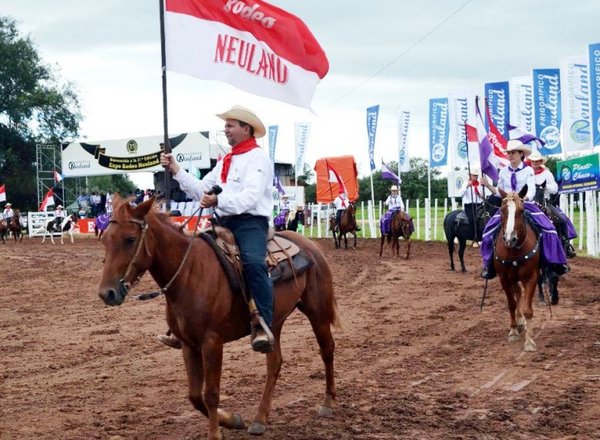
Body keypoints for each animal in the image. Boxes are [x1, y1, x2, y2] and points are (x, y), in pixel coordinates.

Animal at [98, 197, 342, 440]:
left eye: (130, 239)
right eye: (106, 239)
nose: (106, 293)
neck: (190, 273)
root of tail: (311, 246)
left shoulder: (212, 342)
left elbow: (211, 393)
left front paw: (215, 434)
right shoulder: (188, 344)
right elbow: (195, 395)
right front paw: (233, 420)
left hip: (318, 313)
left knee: (327, 350)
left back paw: (328, 403)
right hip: (274, 323)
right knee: (274, 363)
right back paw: (259, 419)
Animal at [494, 187, 540, 352]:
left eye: (521, 211)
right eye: (502, 210)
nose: (510, 239)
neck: (513, 251)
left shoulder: (531, 277)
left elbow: (528, 309)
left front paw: (530, 341)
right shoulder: (504, 279)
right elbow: (511, 303)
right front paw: (513, 331)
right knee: (517, 294)